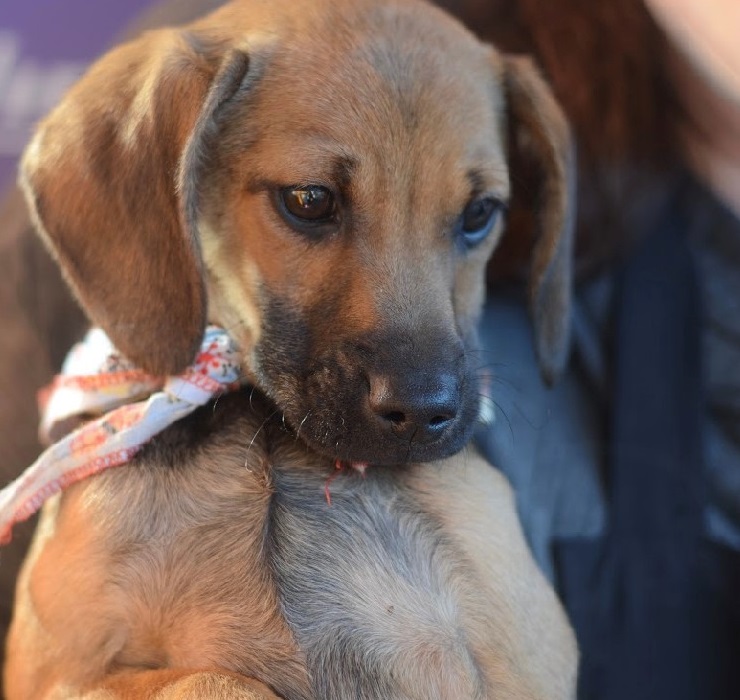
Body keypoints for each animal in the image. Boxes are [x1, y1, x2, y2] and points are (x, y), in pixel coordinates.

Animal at [4, 0, 580, 696]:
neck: (271, 438)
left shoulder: (522, 664)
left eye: (479, 213)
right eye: (309, 200)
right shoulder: (55, 672)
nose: (424, 414)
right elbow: (215, 679)